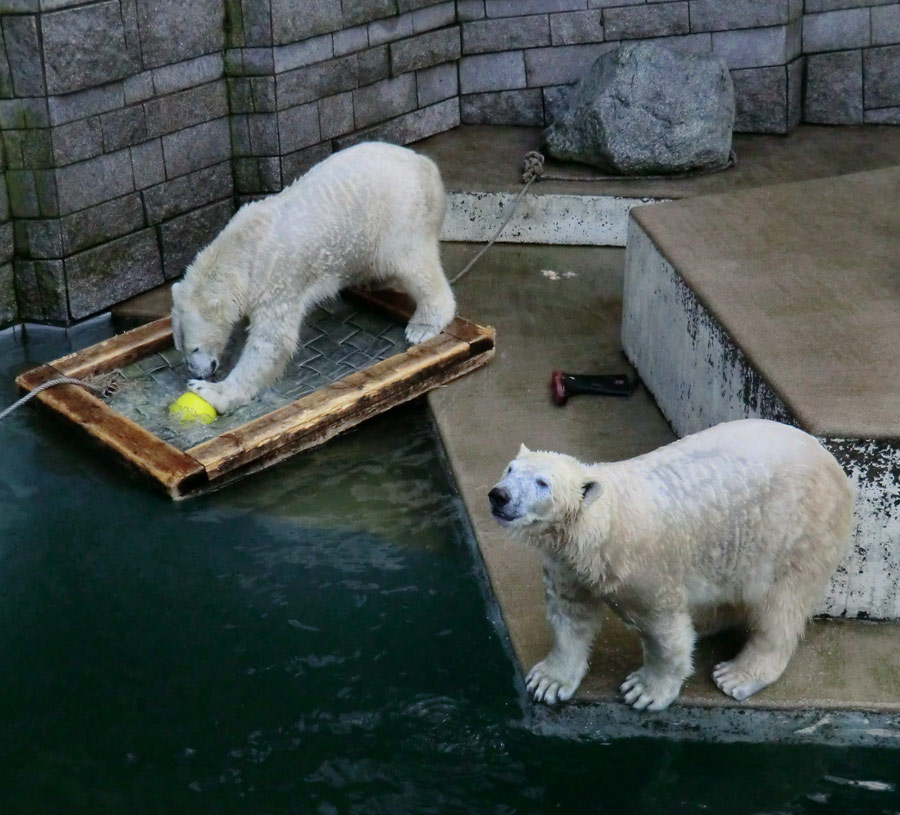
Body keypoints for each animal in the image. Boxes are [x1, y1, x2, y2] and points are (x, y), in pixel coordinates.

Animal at [171, 142, 458, 414]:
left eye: (194, 347)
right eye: (180, 346)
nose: (198, 372)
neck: (243, 248)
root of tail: (426, 165)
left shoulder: (277, 279)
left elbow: (272, 342)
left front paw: (211, 391)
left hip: (399, 214)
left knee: (413, 265)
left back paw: (423, 325)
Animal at [488, 420, 856, 712]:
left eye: (542, 483)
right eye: (510, 469)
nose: (499, 495)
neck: (605, 523)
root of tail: (833, 463)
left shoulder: (647, 571)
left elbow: (663, 633)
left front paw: (645, 691)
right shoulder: (568, 564)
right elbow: (570, 614)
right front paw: (548, 681)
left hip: (798, 532)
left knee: (781, 607)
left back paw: (738, 674)